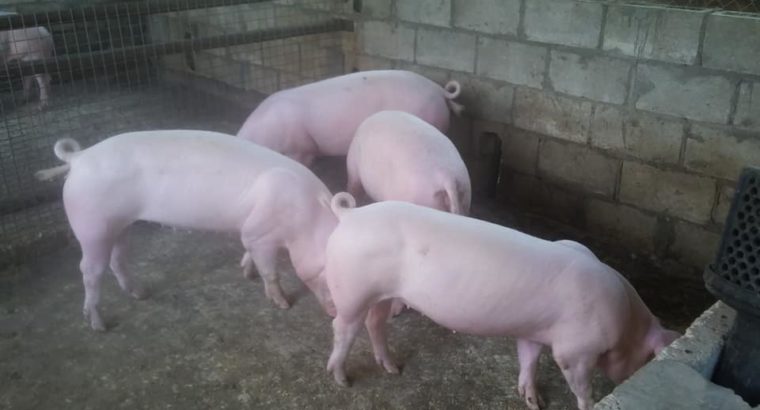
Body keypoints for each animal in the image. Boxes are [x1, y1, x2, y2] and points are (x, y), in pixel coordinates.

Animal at [34, 130, 338, 331]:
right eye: (330, 274)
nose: (336, 313)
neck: (305, 216)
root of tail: (78, 157)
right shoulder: (259, 233)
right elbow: (269, 271)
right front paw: (283, 304)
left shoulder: (252, 232)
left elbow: (250, 254)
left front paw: (247, 273)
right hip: (92, 224)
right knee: (89, 270)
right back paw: (99, 325)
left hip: (118, 224)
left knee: (116, 259)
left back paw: (140, 294)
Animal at [322, 193, 680, 410]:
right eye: (647, 358)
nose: (631, 379)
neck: (625, 319)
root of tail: (350, 214)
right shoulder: (574, 351)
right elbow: (580, 386)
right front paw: (588, 404)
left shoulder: (534, 332)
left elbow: (529, 360)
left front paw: (532, 401)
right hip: (353, 288)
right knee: (342, 327)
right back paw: (341, 379)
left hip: (382, 293)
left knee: (375, 323)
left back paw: (393, 369)